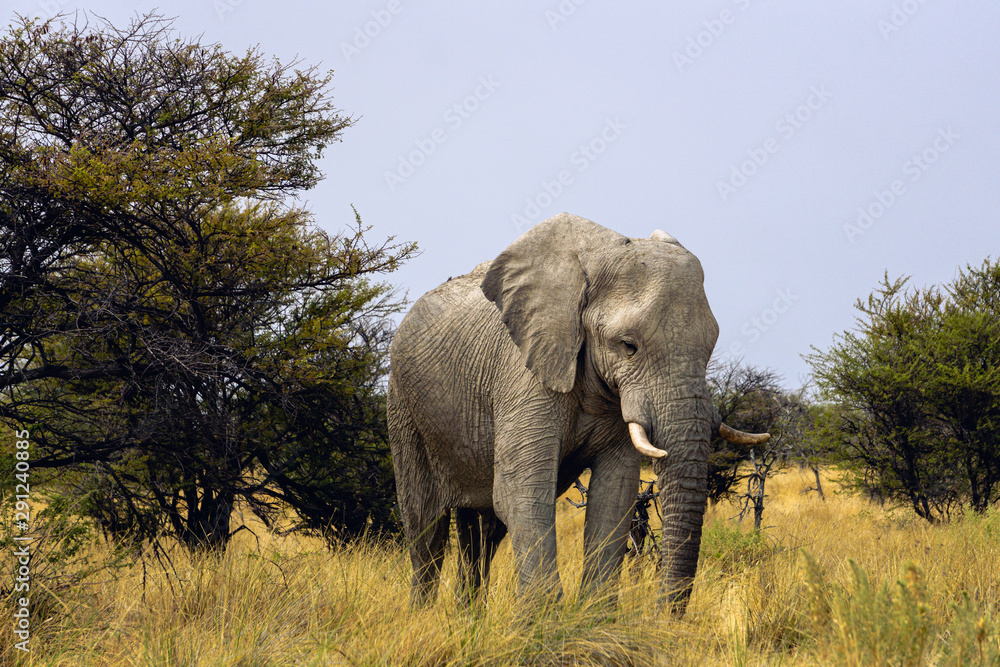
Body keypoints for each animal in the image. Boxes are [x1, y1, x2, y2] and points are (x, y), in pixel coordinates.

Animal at [387, 213, 768, 614]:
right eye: (628, 346)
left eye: (710, 347)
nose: (662, 617)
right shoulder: (522, 372)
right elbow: (521, 492)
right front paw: (542, 621)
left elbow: (614, 495)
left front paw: (594, 619)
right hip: (403, 404)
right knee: (426, 525)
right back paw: (422, 617)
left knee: (483, 532)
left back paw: (467, 617)